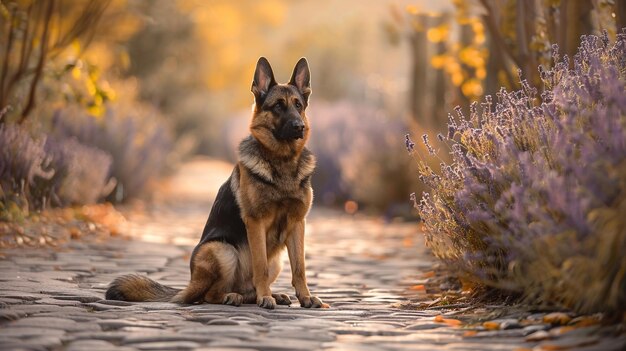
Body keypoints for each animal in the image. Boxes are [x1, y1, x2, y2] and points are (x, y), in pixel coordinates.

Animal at [104, 57, 322, 310]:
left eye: (298, 105)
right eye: (278, 105)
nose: (299, 127)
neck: (283, 161)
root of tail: (189, 284)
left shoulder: (297, 223)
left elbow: (300, 268)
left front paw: (305, 297)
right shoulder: (256, 223)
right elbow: (260, 266)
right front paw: (265, 297)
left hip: (275, 261)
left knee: (247, 288)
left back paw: (266, 295)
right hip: (222, 250)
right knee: (210, 294)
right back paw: (237, 296)